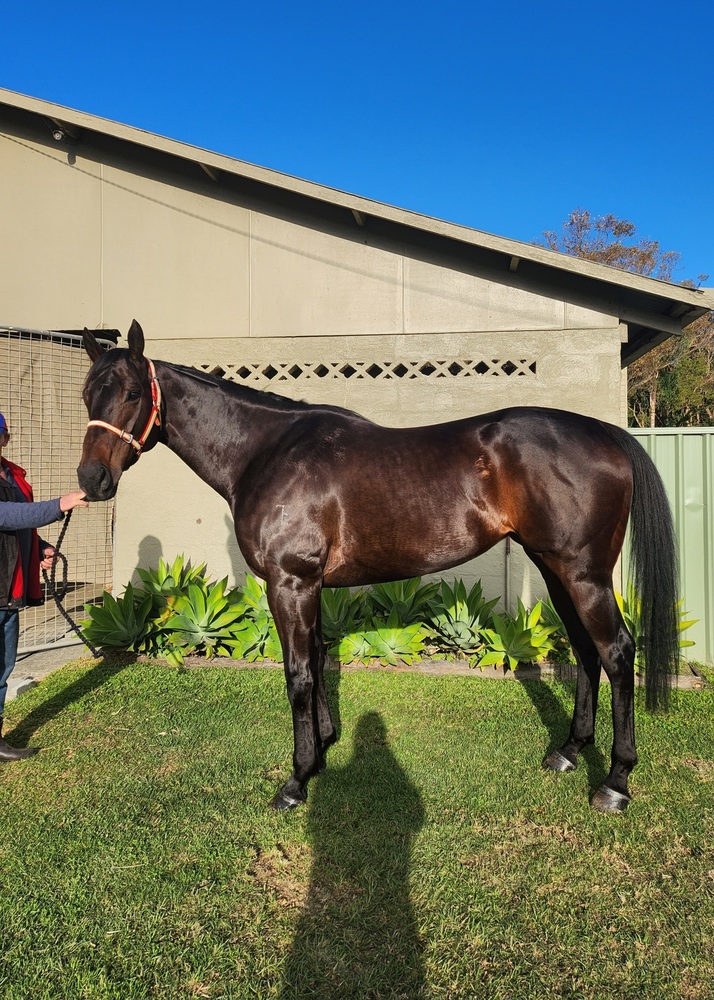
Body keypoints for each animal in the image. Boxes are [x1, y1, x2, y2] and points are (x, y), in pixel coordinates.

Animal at [77, 321, 679, 814]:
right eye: (86, 394)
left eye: (132, 393)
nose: (90, 480)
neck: (266, 453)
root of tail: (606, 434)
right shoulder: (311, 585)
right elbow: (318, 660)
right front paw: (322, 748)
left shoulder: (290, 582)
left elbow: (298, 673)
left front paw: (297, 780)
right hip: (556, 571)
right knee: (585, 651)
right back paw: (570, 751)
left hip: (583, 575)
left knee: (616, 652)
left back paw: (616, 781)